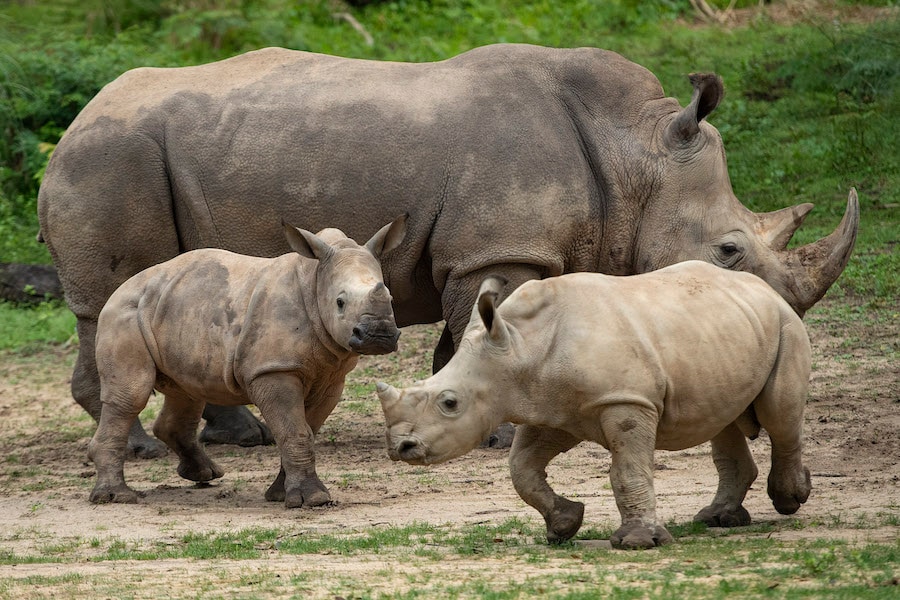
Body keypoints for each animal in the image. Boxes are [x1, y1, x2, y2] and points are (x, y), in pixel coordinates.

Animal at [37, 44, 858, 456]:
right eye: (730, 249)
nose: (772, 336)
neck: (637, 153)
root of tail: (70, 128)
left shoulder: (486, 250)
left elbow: (461, 341)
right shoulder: (499, 247)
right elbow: (480, 328)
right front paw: (502, 434)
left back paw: (241, 439)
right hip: (110, 161)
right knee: (107, 304)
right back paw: (141, 451)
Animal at [87, 217, 406, 506]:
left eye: (391, 298)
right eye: (340, 303)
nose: (378, 335)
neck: (315, 280)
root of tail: (122, 288)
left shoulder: (331, 377)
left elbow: (306, 431)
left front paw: (280, 495)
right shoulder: (272, 370)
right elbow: (294, 431)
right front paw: (312, 500)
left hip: (172, 310)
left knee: (186, 392)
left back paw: (204, 475)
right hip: (124, 313)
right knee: (131, 396)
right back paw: (115, 497)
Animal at [377, 262, 814, 549]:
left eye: (450, 403)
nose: (400, 448)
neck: (518, 348)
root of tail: (764, 287)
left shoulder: (626, 400)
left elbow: (628, 470)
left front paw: (637, 542)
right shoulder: (552, 409)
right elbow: (522, 468)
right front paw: (564, 526)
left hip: (785, 324)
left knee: (778, 414)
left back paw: (789, 499)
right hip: (725, 331)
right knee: (723, 420)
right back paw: (719, 520)